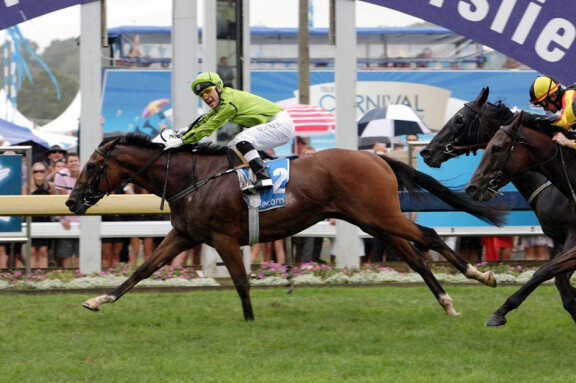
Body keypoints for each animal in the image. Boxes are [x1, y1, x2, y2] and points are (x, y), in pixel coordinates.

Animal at [65, 134, 504, 320]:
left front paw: (249, 322)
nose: (70, 201)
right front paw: (97, 300)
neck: (193, 178)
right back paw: (447, 303)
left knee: (428, 237)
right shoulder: (185, 235)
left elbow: (241, 281)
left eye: (92, 164)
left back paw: (479, 275)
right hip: (373, 221)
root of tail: (377, 157)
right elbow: (142, 269)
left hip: (380, 216)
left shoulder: (223, 237)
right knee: (415, 258)